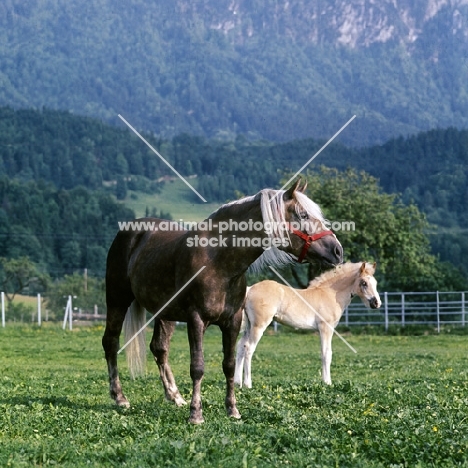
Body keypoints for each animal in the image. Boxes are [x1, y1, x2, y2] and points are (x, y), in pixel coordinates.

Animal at [103, 180, 344, 424]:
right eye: (303, 214)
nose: (337, 250)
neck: (218, 262)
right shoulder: (196, 320)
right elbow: (197, 367)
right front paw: (196, 413)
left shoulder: (233, 321)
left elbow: (229, 365)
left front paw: (232, 409)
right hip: (116, 301)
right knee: (110, 343)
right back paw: (120, 397)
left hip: (165, 313)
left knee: (160, 348)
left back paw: (175, 396)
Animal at [234, 264, 380, 388]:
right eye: (364, 283)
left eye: (375, 283)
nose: (376, 303)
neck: (330, 294)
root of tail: (250, 289)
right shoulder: (325, 328)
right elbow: (326, 353)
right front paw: (327, 382)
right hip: (259, 326)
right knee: (249, 348)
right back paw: (248, 384)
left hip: (249, 326)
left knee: (241, 346)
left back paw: (237, 383)